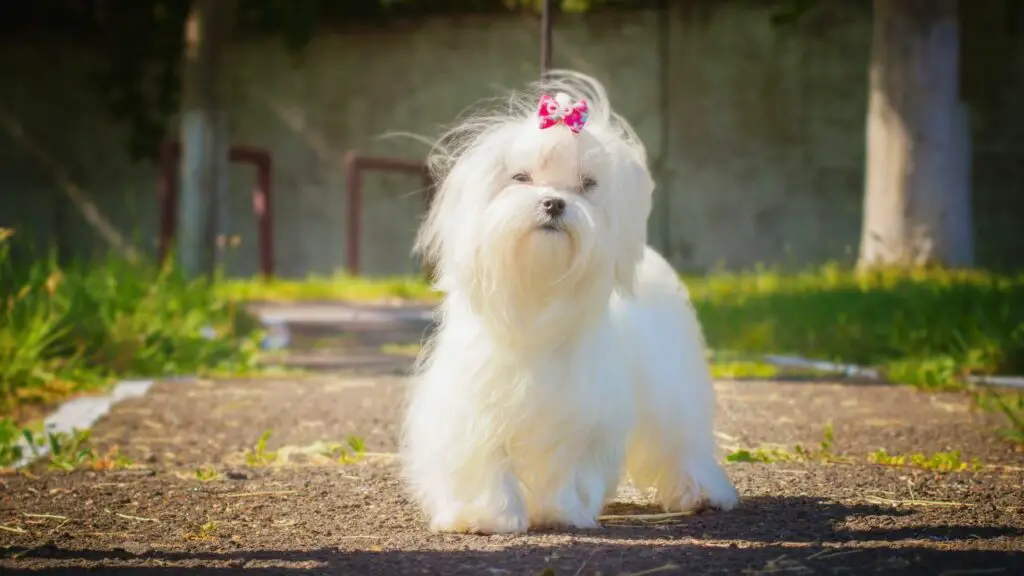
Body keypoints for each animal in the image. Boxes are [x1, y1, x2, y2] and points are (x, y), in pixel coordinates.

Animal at [397, 71, 737, 532]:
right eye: (521, 177)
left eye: (586, 185)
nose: (554, 203)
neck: (537, 295)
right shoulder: (475, 411)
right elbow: (484, 462)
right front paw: (485, 516)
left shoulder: (581, 416)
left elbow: (569, 468)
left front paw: (563, 512)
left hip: (671, 389)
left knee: (682, 440)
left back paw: (702, 493)